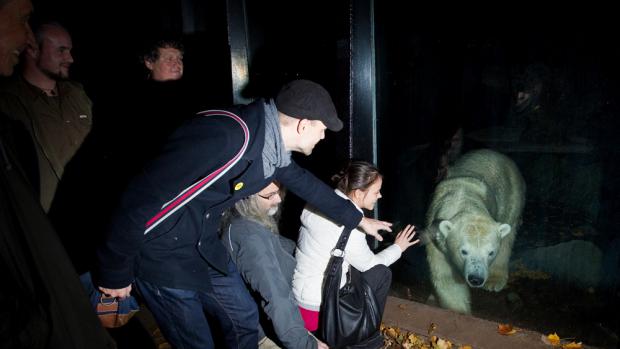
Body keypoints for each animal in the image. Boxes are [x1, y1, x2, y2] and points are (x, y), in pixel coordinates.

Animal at [426, 147, 524, 312]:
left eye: (491, 252)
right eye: (464, 251)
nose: (476, 279)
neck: (461, 199)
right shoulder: (436, 237)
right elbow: (447, 279)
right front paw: (458, 309)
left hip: (512, 193)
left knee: (507, 237)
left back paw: (495, 280)